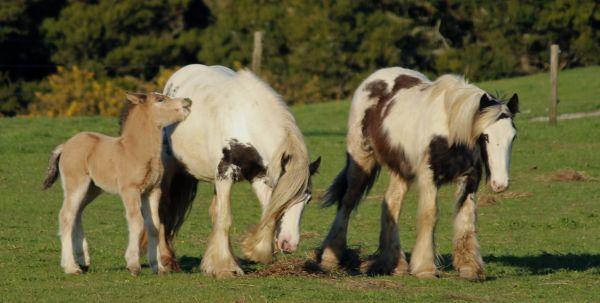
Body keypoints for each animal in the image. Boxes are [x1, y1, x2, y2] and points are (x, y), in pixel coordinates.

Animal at [157, 64, 322, 278]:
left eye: (308, 200)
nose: (289, 244)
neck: (245, 120)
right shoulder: (225, 174)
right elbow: (225, 219)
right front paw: (226, 268)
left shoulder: (260, 177)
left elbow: (267, 214)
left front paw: (255, 252)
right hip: (171, 169)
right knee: (164, 209)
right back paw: (165, 262)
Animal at [318, 67, 520, 282]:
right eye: (486, 136)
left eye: (513, 137)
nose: (500, 184)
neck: (450, 129)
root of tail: (373, 79)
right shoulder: (428, 176)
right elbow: (429, 215)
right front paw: (425, 268)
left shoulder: (470, 178)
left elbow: (466, 217)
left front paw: (470, 268)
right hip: (361, 159)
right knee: (348, 202)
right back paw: (331, 257)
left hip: (401, 170)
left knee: (391, 203)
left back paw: (395, 263)